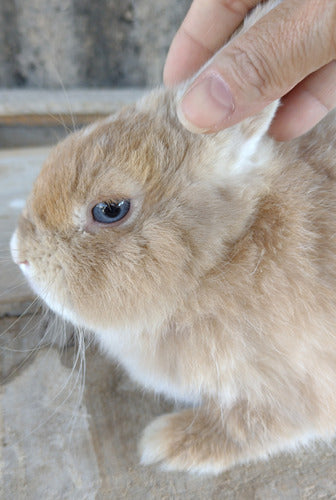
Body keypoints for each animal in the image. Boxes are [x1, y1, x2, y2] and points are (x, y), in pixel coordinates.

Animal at [9, 0, 336, 474]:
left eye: (110, 210)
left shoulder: (298, 389)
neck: (220, 259)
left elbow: (253, 424)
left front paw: (166, 444)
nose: (20, 255)